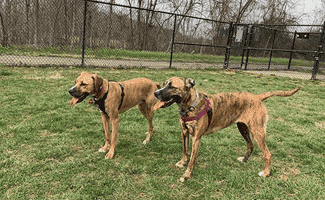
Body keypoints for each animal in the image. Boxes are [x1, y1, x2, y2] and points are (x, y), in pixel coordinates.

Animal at [153, 77, 300, 182]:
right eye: (165, 83)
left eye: (172, 86)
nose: (155, 93)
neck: (190, 105)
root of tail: (257, 97)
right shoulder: (184, 133)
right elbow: (185, 151)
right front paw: (182, 162)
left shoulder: (196, 139)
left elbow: (192, 160)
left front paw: (187, 175)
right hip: (243, 128)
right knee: (250, 145)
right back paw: (245, 160)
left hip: (257, 131)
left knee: (267, 154)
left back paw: (266, 173)